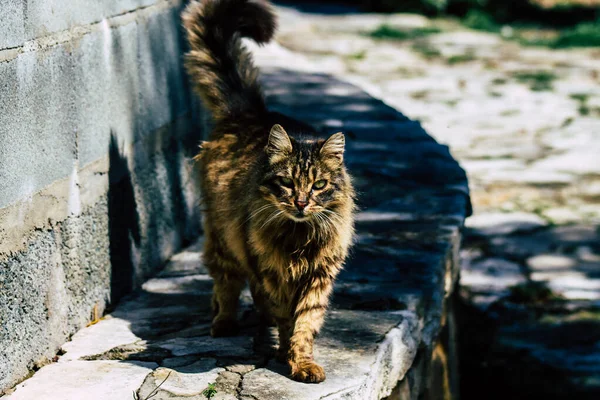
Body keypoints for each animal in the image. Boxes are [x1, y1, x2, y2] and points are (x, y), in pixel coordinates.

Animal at [180, 0, 354, 382]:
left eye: (319, 185)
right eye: (287, 183)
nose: (301, 202)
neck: (299, 237)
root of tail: (249, 113)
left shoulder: (318, 277)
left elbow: (306, 323)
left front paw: (301, 361)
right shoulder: (272, 272)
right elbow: (288, 319)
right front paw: (287, 355)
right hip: (224, 238)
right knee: (226, 283)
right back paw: (223, 321)